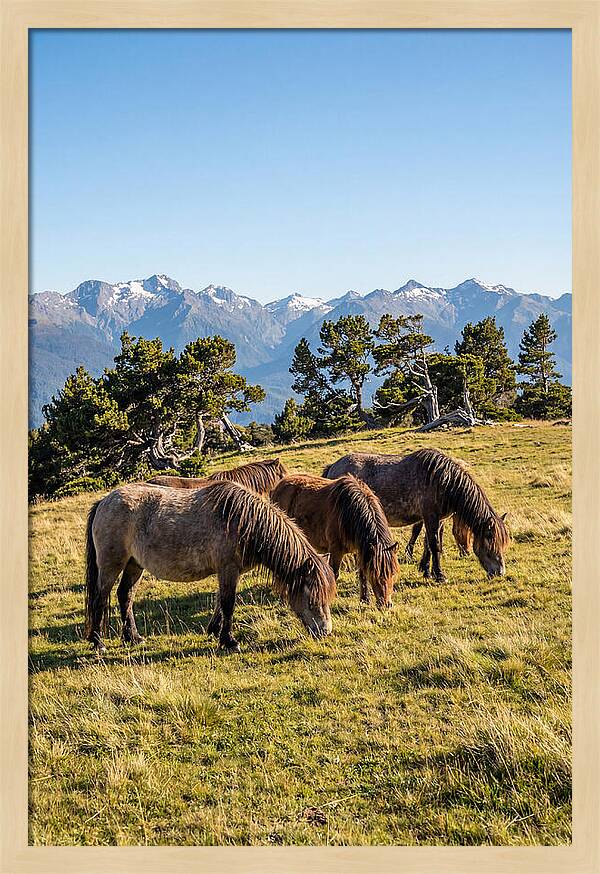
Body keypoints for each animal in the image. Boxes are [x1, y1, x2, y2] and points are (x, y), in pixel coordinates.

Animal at [84, 480, 336, 653]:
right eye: (312, 599)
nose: (325, 631)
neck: (243, 522)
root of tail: (104, 502)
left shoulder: (229, 572)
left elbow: (219, 602)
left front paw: (214, 631)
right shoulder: (228, 569)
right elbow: (228, 604)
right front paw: (229, 641)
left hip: (134, 565)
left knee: (125, 595)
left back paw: (133, 637)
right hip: (111, 564)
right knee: (100, 597)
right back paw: (98, 642)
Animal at [271, 473, 399, 608]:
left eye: (392, 573)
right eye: (375, 573)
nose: (386, 604)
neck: (349, 512)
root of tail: (279, 485)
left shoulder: (360, 550)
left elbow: (362, 574)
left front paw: (364, 600)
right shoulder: (336, 550)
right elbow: (334, 574)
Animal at [323, 448, 509, 583]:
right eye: (491, 541)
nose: (500, 572)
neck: (442, 480)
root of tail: (333, 466)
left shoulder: (437, 520)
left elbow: (429, 544)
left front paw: (426, 571)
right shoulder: (430, 516)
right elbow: (434, 544)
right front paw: (439, 575)